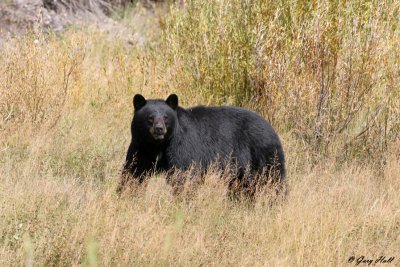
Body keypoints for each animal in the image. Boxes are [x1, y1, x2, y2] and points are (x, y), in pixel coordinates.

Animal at [119, 94, 284, 195]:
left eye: (166, 118)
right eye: (150, 118)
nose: (159, 129)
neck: (158, 145)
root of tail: (270, 126)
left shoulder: (182, 145)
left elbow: (184, 175)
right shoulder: (141, 146)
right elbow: (134, 171)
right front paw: (126, 193)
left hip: (262, 152)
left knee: (272, 178)